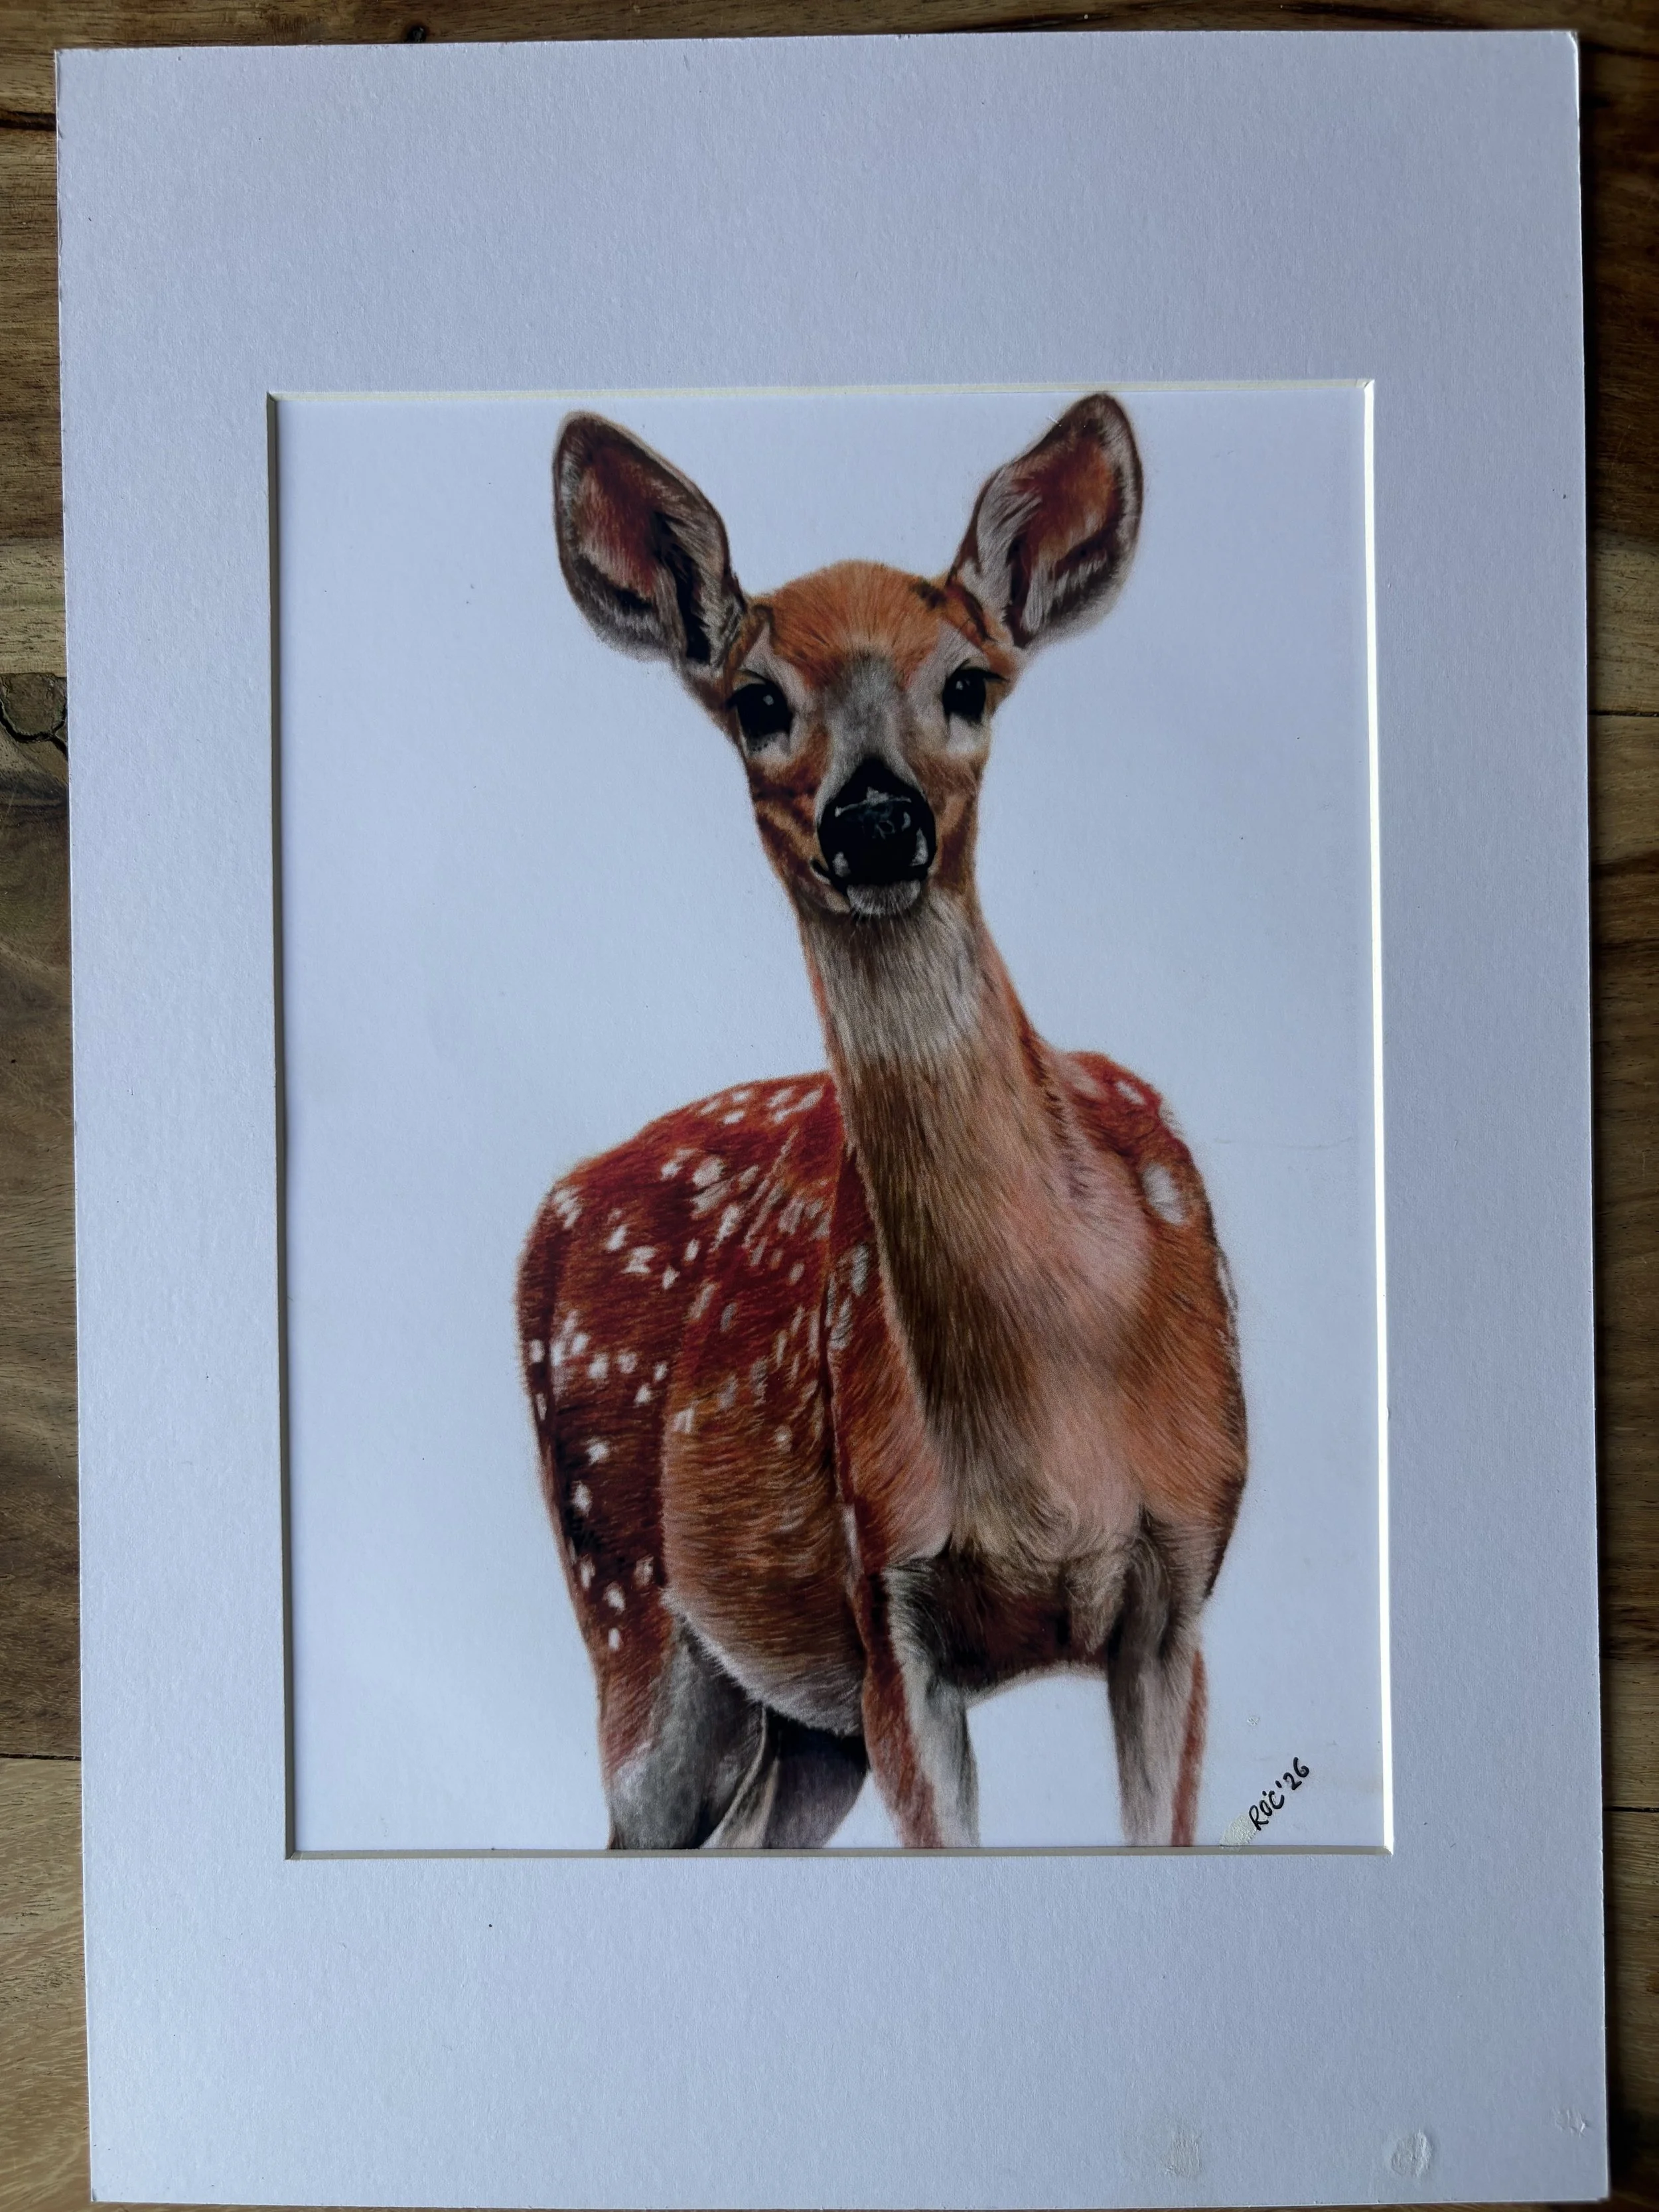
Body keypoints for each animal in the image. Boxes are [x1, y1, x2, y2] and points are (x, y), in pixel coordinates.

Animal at [517, 393, 1246, 1851]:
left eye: (968, 681)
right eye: (757, 701)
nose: (872, 818)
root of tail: (550, 1212)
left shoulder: (1179, 1587)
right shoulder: (887, 1597)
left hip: (800, 1725)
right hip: (630, 1604)